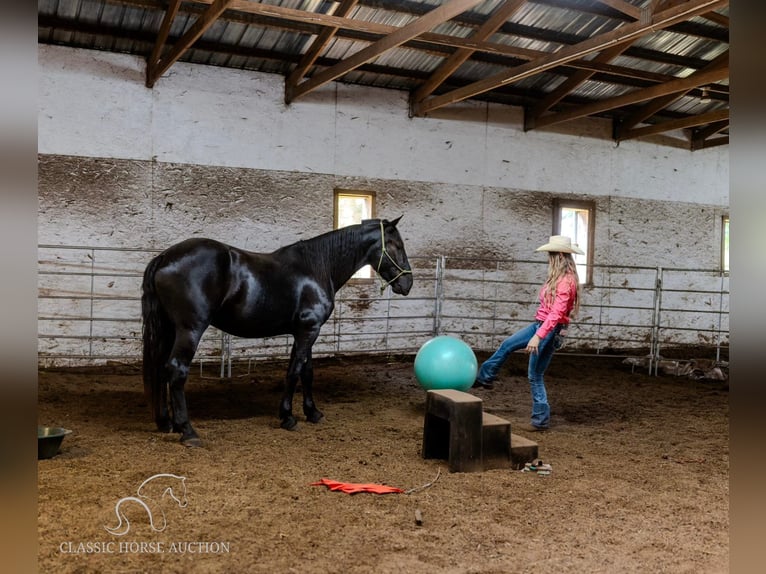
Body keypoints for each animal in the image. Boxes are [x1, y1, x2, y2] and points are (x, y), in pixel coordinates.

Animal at [140, 218, 412, 448]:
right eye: (397, 245)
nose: (407, 283)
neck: (317, 266)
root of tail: (165, 257)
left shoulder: (305, 331)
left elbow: (306, 372)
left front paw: (313, 412)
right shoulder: (308, 330)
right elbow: (294, 372)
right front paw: (287, 417)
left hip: (169, 329)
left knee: (162, 369)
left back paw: (166, 423)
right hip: (190, 329)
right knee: (177, 370)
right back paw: (188, 431)